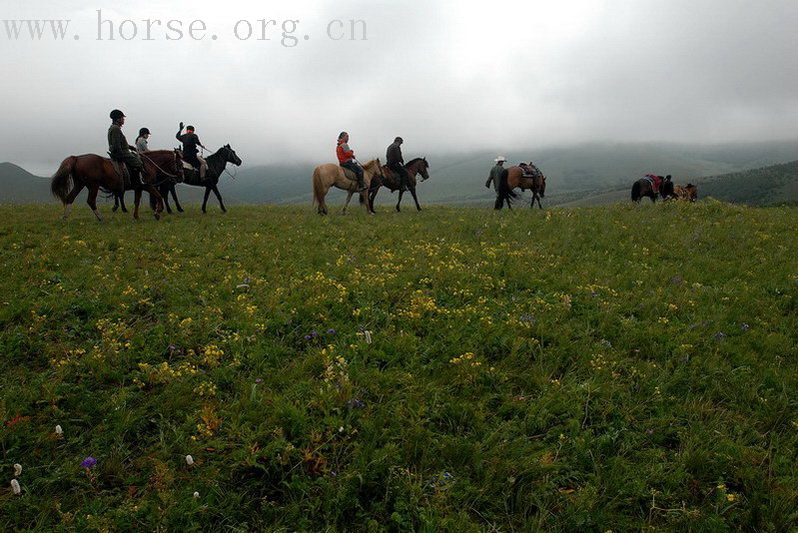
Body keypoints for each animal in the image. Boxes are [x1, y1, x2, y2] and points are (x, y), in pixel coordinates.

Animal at [52, 151, 183, 221]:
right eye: (180, 163)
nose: (181, 178)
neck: (147, 164)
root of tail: (77, 158)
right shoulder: (147, 185)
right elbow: (159, 195)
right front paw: (157, 212)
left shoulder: (138, 188)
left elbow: (137, 201)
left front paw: (136, 216)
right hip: (93, 186)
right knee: (91, 201)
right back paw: (100, 218)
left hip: (80, 184)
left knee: (70, 197)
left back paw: (65, 217)